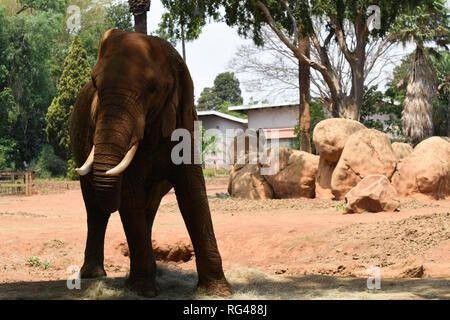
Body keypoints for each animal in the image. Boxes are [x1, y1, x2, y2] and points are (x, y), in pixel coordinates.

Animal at [70, 28, 232, 296]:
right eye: (95, 85)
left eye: (153, 89)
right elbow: (130, 195)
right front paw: (144, 291)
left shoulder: (185, 123)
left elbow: (193, 194)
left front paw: (217, 291)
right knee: (95, 209)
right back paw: (94, 275)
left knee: (149, 208)